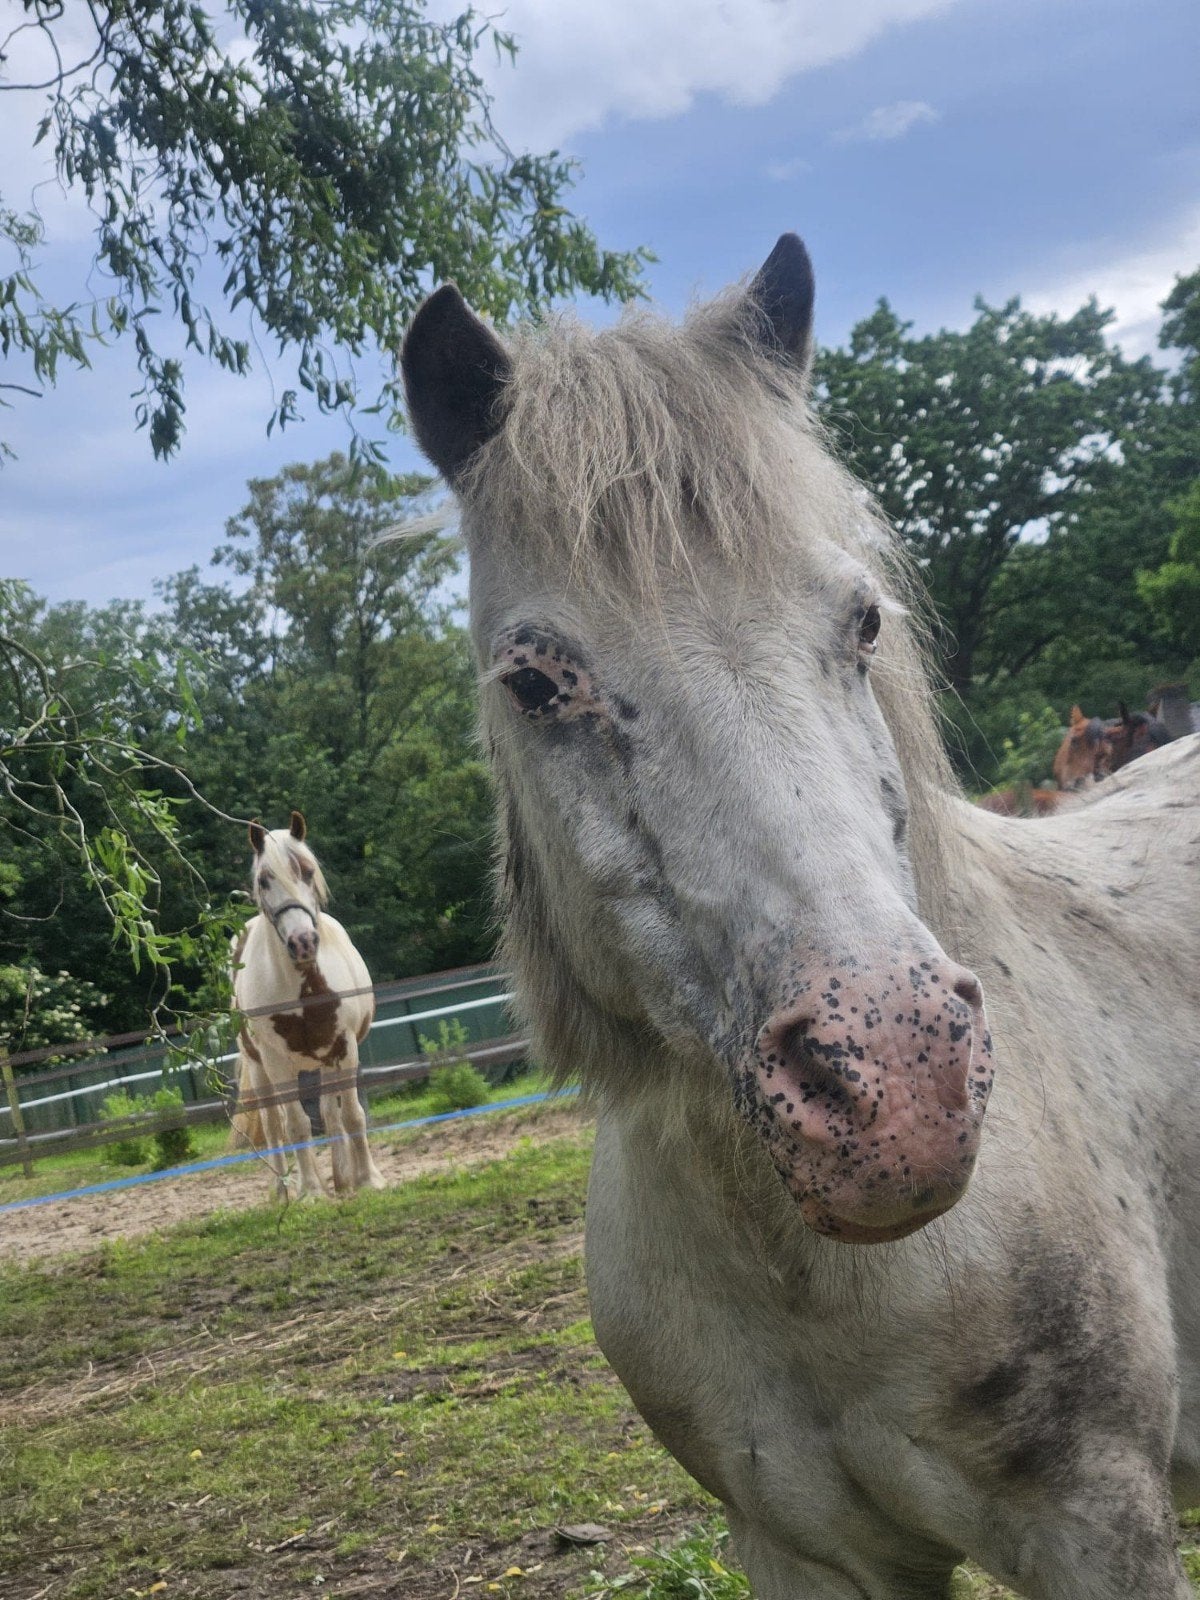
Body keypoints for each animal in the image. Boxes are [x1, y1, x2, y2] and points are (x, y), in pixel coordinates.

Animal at [230, 811, 385, 1199]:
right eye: (264, 880)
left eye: (308, 871)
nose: (303, 942)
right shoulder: (275, 1061)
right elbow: (296, 1124)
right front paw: (311, 1191)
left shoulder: (344, 1048)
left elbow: (351, 1115)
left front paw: (367, 1179)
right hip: (260, 1067)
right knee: (274, 1125)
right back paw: (284, 1190)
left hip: (323, 1062)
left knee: (329, 1113)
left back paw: (342, 1179)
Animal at [400, 234, 1200, 1598]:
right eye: (535, 681)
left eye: (863, 620)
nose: (895, 1089)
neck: (813, 1276)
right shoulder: (802, 1553)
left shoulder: (1102, 1530)